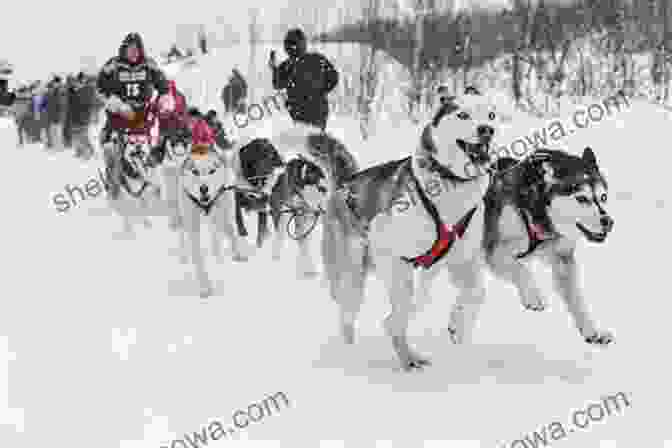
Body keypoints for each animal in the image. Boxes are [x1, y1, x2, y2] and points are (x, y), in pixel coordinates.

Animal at [178, 144, 249, 298]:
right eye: (195, 171)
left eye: (212, 171)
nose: (203, 188)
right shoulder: (192, 226)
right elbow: (198, 258)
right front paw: (205, 287)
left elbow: (222, 239)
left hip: (225, 214)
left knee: (228, 231)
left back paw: (234, 253)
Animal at [322, 92, 496, 372]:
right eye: (463, 115)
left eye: (491, 115)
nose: (487, 130)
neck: (450, 183)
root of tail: (345, 184)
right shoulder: (391, 254)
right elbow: (399, 313)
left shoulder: (462, 261)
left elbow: (477, 293)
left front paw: (458, 325)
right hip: (351, 275)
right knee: (350, 316)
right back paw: (368, 355)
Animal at [484, 149, 616, 344]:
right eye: (582, 198)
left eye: (603, 197)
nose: (608, 222)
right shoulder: (494, 251)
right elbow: (520, 269)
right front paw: (533, 295)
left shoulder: (563, 260)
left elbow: (577, 298)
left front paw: (592, 330)